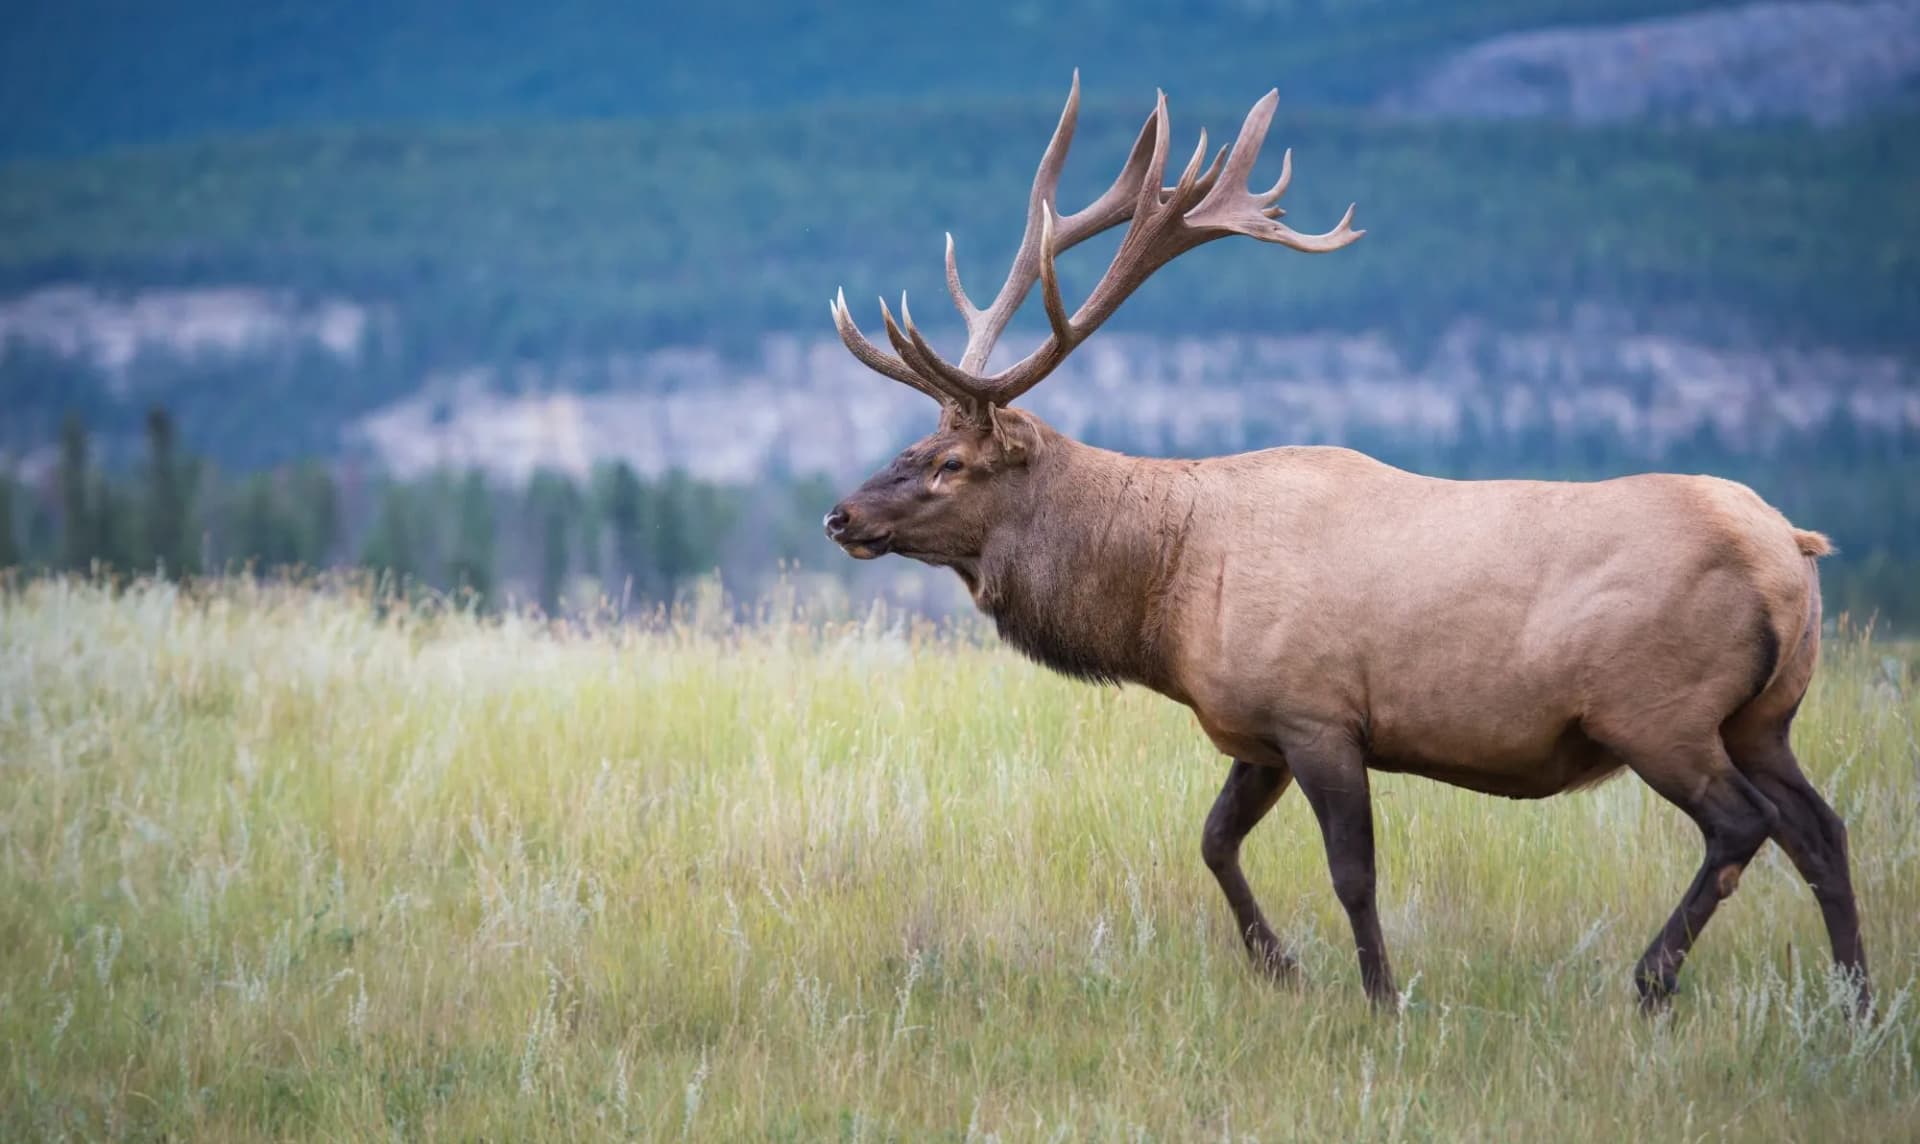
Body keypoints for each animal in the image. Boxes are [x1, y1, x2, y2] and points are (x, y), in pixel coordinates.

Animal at [821, 74, 1870, 1013]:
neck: (1171, 596)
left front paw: (1380, 998)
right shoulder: (1257, 725)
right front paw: (1279, 968)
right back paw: (1854, 1000)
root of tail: (1793, 553)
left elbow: (1351, 872)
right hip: (1764, 715)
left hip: (1657, 709)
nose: (841, 515)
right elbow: (1213, 840)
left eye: (951, 461)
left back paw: (1652, 982)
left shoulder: (1317, 711)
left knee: (1743, 825)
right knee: (1821, 828)